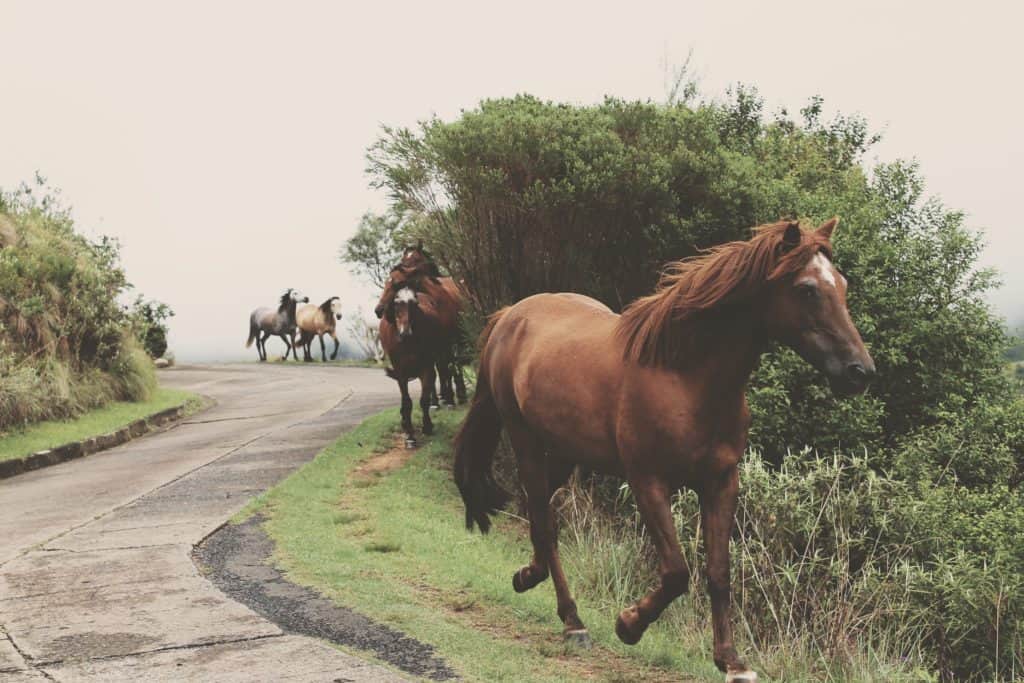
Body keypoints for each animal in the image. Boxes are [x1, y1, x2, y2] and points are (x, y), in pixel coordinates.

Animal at [380, 285, 452, 448]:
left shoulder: (426, 367)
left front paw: (427, 426)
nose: (405, 333)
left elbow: (424, 399)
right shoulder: (400, 372)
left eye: (414, 305)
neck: (408, 343)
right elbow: (407, 403)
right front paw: (410, 436)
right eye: (396, 305)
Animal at [453, 219, 874, 682]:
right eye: (807, 289)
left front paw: (731, 660)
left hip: (564, 452)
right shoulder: (649, 481)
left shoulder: (721, 483)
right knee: (543, 521)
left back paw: (531, 577)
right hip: (526, 440)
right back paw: (572, 620)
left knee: (541, 514)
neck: (685, 377)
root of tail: (510, 315)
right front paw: (628, 624)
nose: (860, 371)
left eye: (842, 284)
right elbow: (676, 573)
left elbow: (718, 572)